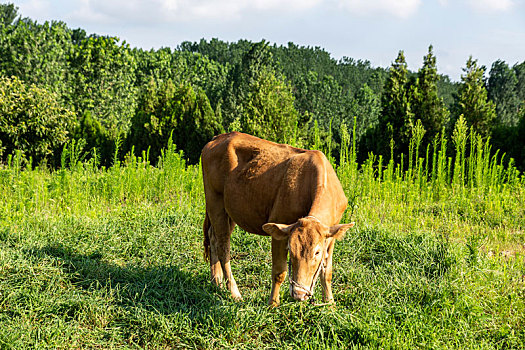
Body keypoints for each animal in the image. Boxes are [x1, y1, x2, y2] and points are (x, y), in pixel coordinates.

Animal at [200, 132, 352, 306]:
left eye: (317, 252)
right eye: (291, 249)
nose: (299, 293)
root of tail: (219, 137)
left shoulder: (331, 235)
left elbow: (327, 271)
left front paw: (330, 303)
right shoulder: (280, 230)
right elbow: (279, 272)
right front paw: (273, 303)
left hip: (229, 210)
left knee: (213, 237)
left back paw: (216, 281)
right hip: (214, 201)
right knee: (223, 246)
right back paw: (234, 293)